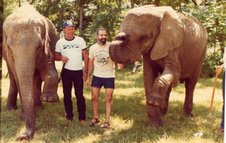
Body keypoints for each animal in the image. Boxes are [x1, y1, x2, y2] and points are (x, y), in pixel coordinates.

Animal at [2, 3, 59, 140]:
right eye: (9, 48)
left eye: (39, 46)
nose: (21, 136)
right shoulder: (9, 56)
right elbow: (18, 78)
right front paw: (23, 114)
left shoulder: (48, 46)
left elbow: (48, 69)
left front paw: (49, 99)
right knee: (13, 78)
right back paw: (11, 109)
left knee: (36, 78)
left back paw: (38, 107)